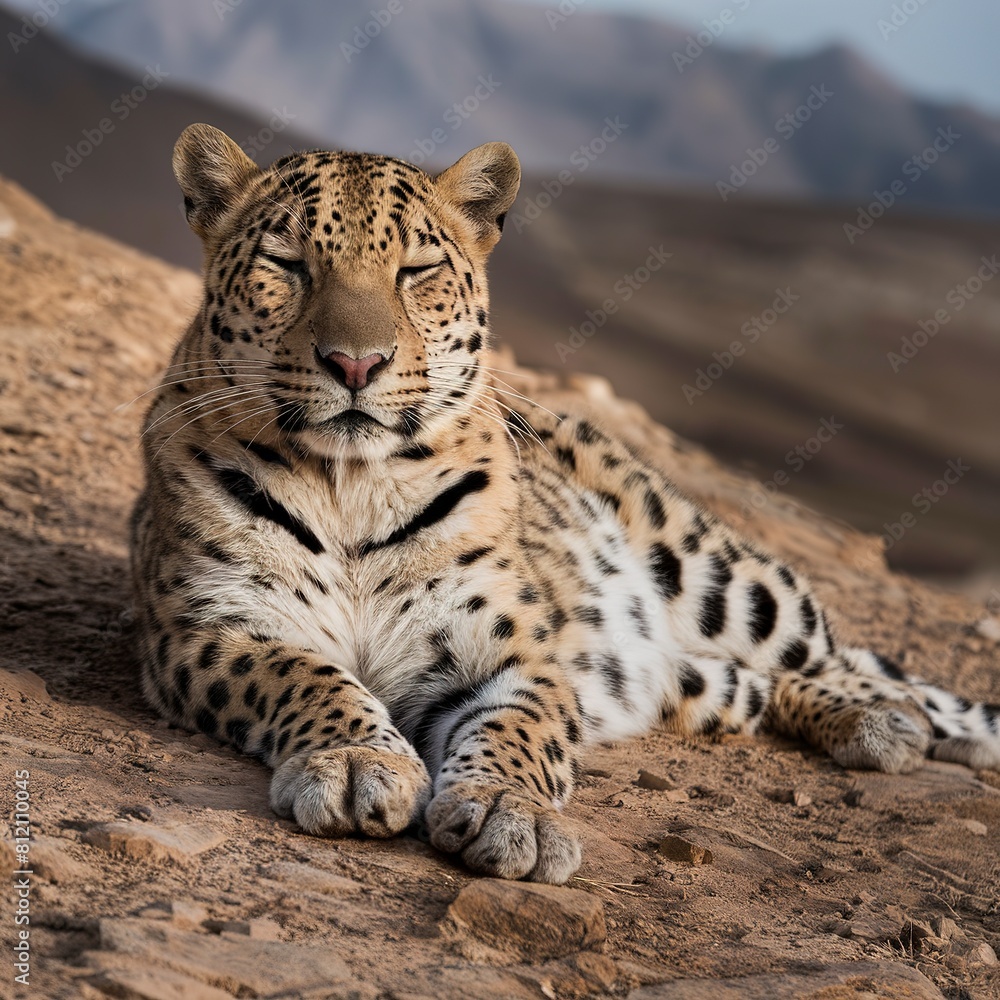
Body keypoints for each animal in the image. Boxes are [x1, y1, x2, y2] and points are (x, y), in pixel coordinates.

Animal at [130, 123, 1000, 885]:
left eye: (416, 271)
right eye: (287, 264)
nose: (356, 364)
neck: (353, 485)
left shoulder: (512, 650)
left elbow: (518, 728)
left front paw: (510, 813)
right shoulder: (213, 628)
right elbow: (307, 677)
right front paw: (357, 760)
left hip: (734, 581)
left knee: (841, 656)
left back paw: (898, 721)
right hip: (690, 677)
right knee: (751, 685)